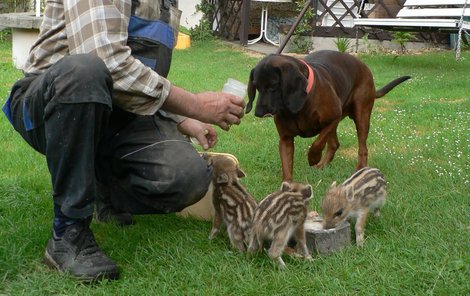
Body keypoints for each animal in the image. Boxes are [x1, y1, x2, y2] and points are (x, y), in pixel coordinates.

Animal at [246, 50, 412, 180]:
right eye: (256, 86)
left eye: (273, 85)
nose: (258, 112)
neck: (302, 103)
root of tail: (364, 66)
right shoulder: (285, 139)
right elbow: (287, 170)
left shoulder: (333, 118)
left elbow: (317, 144)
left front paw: (313, 158)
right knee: (334, 144)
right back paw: (323, 165)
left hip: (361, 115)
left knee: (362, 148)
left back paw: (359, 170)